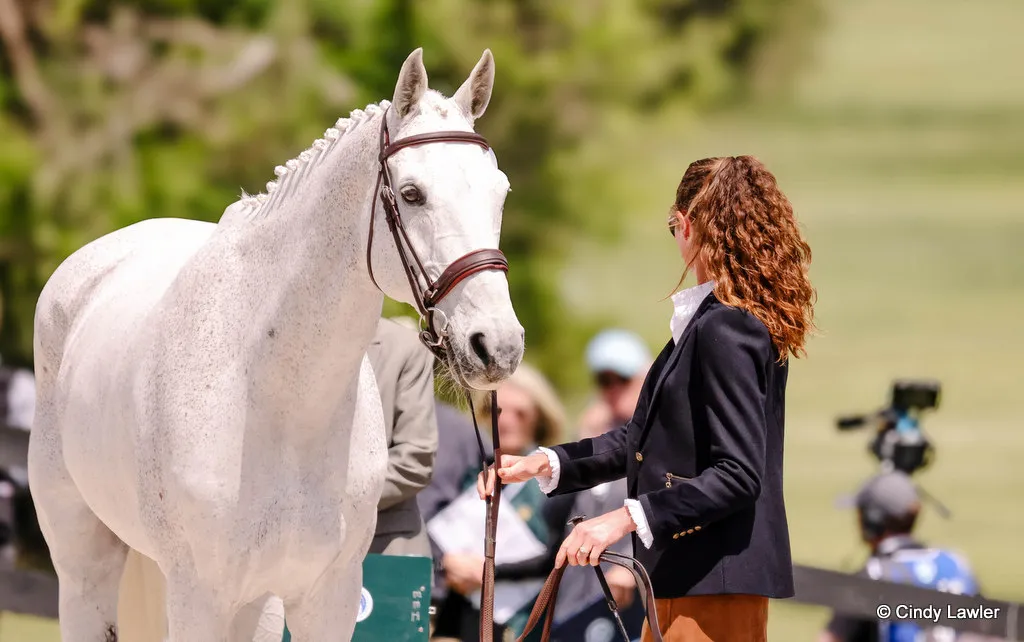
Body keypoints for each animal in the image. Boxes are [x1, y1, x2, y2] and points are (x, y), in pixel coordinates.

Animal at [28, 48, 524, 642]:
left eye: (500, 192)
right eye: (411, 194)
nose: (497, 346)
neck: (279, 400)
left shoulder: (327, 598)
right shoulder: (200, 598)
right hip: (84, 558)